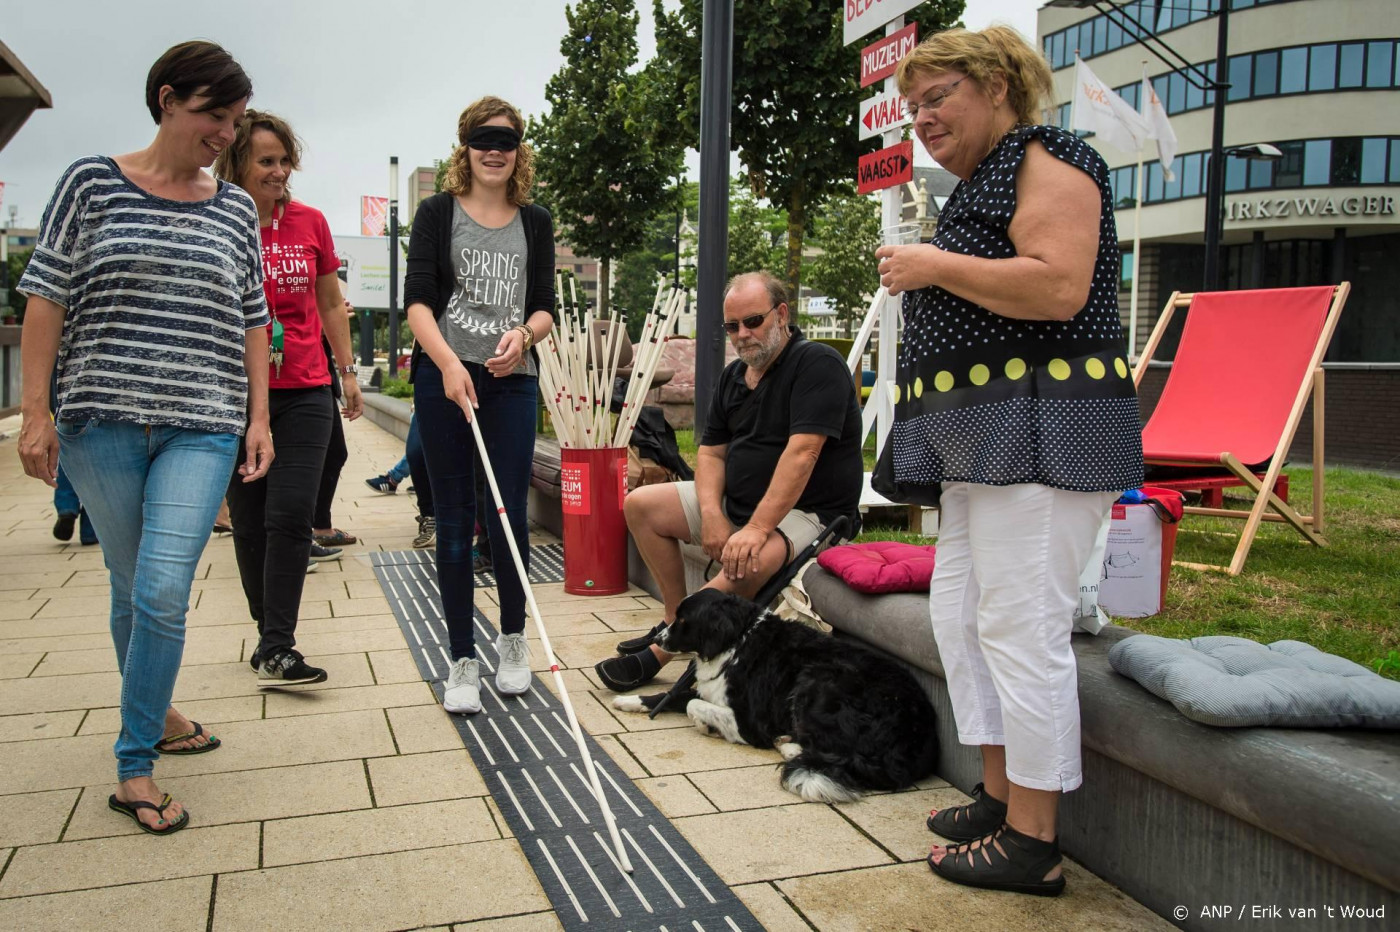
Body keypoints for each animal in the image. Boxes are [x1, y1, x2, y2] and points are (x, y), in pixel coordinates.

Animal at [616, 587, 935, 800]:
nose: (658, 638)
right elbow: (676, 696)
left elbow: (694, 704)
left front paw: (707, 726)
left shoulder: (751, 723)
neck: (736, 641)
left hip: (819, 678)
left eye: (683, 620)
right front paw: (631, 700)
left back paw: (789, 745)